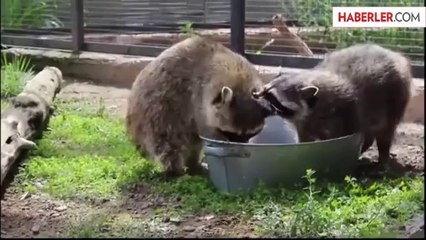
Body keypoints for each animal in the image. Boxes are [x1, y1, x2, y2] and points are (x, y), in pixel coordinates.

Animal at [125, 36, 274, 178]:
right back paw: (175, 168)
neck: (239, 78)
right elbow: (206, 131)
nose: (242, 148)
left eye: (250, 134)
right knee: (168, 140)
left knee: (192, 140)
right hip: (158, 107)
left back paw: (193, 164)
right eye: (230, 133)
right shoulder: (199, 99)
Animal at [253, 43, 412, 165]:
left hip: (394, 97)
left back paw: (382, 156)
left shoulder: (341, 113)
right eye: (264, 91)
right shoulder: (303, 123)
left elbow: (333, 138)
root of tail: (394, 55)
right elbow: (304, 138)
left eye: (272, 97)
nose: (255, 97)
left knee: (385, 131)